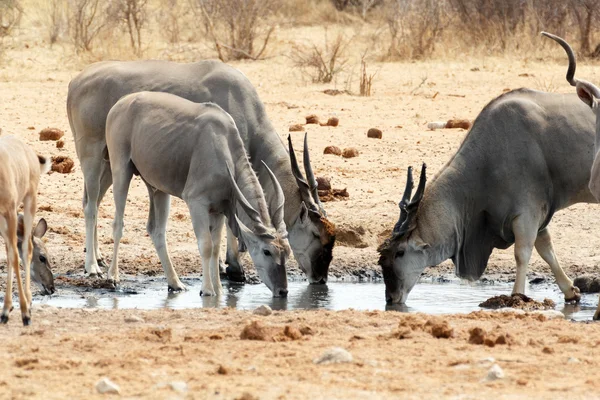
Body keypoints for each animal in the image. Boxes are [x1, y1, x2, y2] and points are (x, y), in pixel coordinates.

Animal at [0, 135, 51, 324]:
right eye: (42, 258)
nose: (52, 288)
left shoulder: (10, 212)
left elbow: (15, 255)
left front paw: (22, 312)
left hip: (30, 201)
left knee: (25, 249)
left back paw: (25, 306)